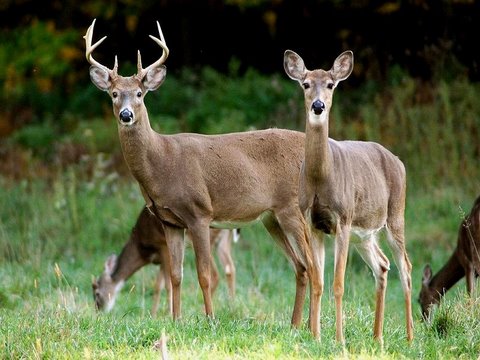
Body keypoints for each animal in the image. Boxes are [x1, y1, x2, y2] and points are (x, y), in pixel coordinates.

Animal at [91, 205, 238, 316]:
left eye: (97, 293)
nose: (98, 311)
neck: (142, 246)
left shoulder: (163, 246)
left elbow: (167, 284)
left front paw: (168, 313)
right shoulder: (161, 258)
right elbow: (158, 286)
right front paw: (153, 314)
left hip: (206, 238)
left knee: (215, 274)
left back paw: (204, 310)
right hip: (224, 240)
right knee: (230, 268)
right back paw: (231, 306)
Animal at [284, 48, 414, 344]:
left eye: (331, 84)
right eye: (305, 84)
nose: (318, 105)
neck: (320, 179)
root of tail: (399, 162)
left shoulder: (342, 220)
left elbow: (338, 284)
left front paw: (339, 340)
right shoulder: (312, 223)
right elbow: (318, 281)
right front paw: (316, 336)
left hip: (395, 216)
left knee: (406, 267)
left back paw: (411, 337)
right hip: (364, 234)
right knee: (382, 265)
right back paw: (377, 337)